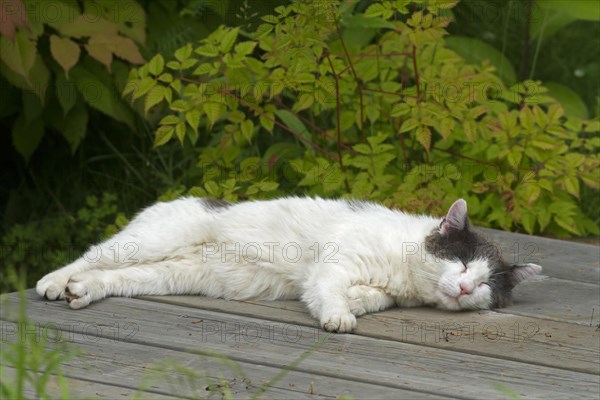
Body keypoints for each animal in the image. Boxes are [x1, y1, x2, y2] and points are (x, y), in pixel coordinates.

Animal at [35, 197, 540, 332]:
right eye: (461, 262)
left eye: (486, 285)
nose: (465, 288)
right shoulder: (332, 266)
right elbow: (330, 291)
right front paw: (339, 316)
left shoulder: (378, 290)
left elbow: (367, 298)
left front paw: (354, 306)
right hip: (151, 240)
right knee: (90, 255)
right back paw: (54, 282)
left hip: (166, 274)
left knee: (110, 278)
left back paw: (80, 291)